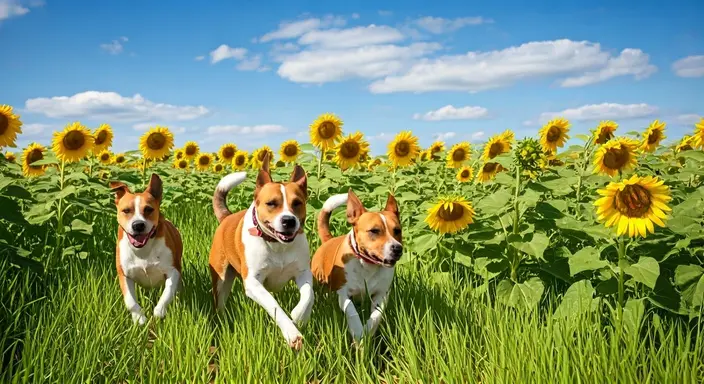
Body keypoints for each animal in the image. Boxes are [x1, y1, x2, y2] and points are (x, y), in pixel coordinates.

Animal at [108, 174, 183, 324]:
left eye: (148, 209)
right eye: (126, 210)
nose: (138, 225)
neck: (143, 250)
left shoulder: (173, 270)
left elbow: (168, 291)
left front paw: (159, 311)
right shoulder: (124, 274)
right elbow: (130, 301)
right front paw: (139, 318)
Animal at [206, 155, 310, 352]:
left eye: (297, 203)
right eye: (271, 203)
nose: (289, 220)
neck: (277, 245)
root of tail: (226, 217)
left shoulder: (303, 273)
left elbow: (309, 295)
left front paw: (299, 315)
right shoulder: (253, 282)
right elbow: (273, 304)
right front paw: (292, 334)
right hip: (221, 277)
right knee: (220, 301)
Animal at [312, 189, 404, 344]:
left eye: (397, 230)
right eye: (374, 231)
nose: (397, 248)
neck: (367, 265)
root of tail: (328, 240)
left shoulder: (381, 294)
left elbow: (376, 315)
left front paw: (367, 331)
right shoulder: (344, 293)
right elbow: (351, 311)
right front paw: (358, 330)